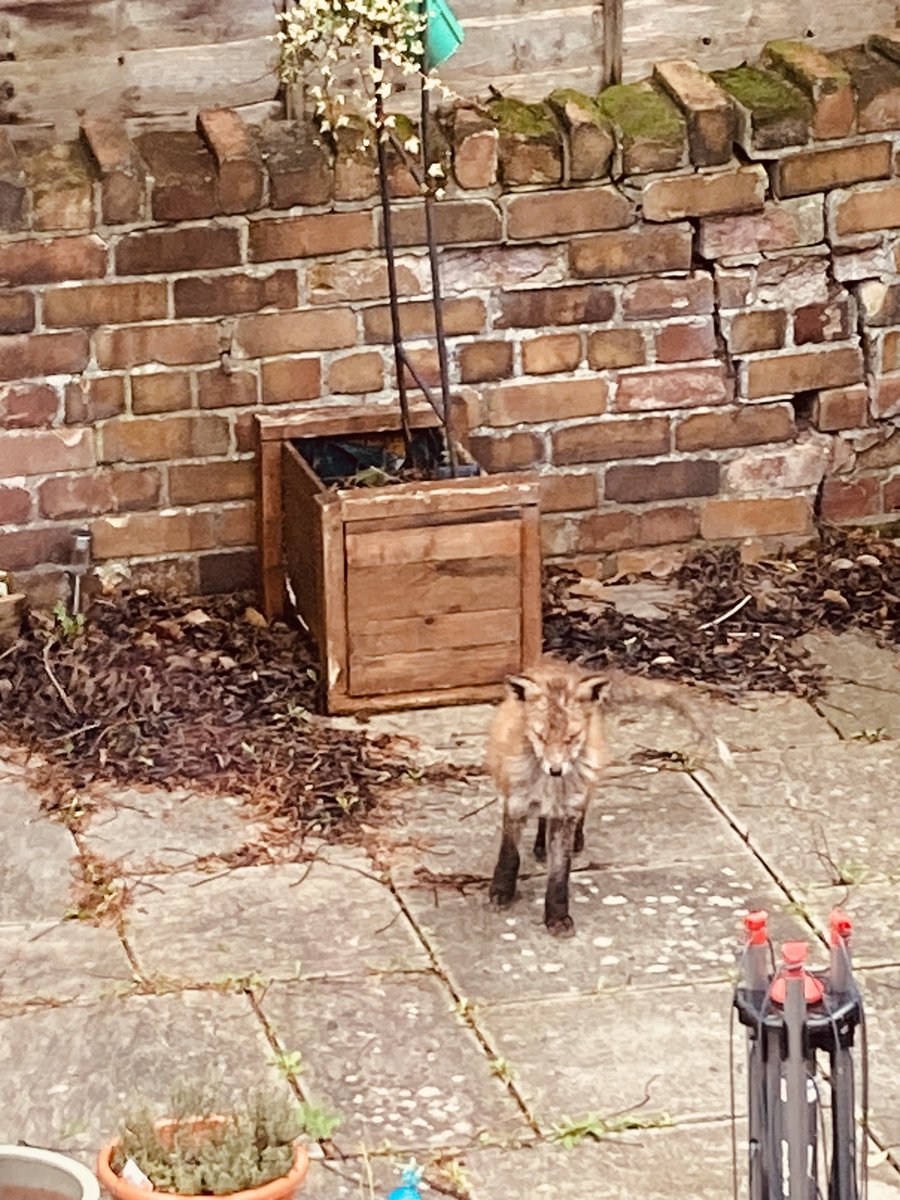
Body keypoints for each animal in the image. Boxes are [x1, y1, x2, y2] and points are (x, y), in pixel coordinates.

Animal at [487, 656, 727, 937]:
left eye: (571, 738)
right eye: (541, 736)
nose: (556, 770)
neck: (548, 785)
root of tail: (560, 664)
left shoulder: (565, 812)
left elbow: (559, 873)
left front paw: (557, 916)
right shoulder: (515, 803)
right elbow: (509, 855)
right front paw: (502, 892)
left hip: (587, 783)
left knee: (578, 813)